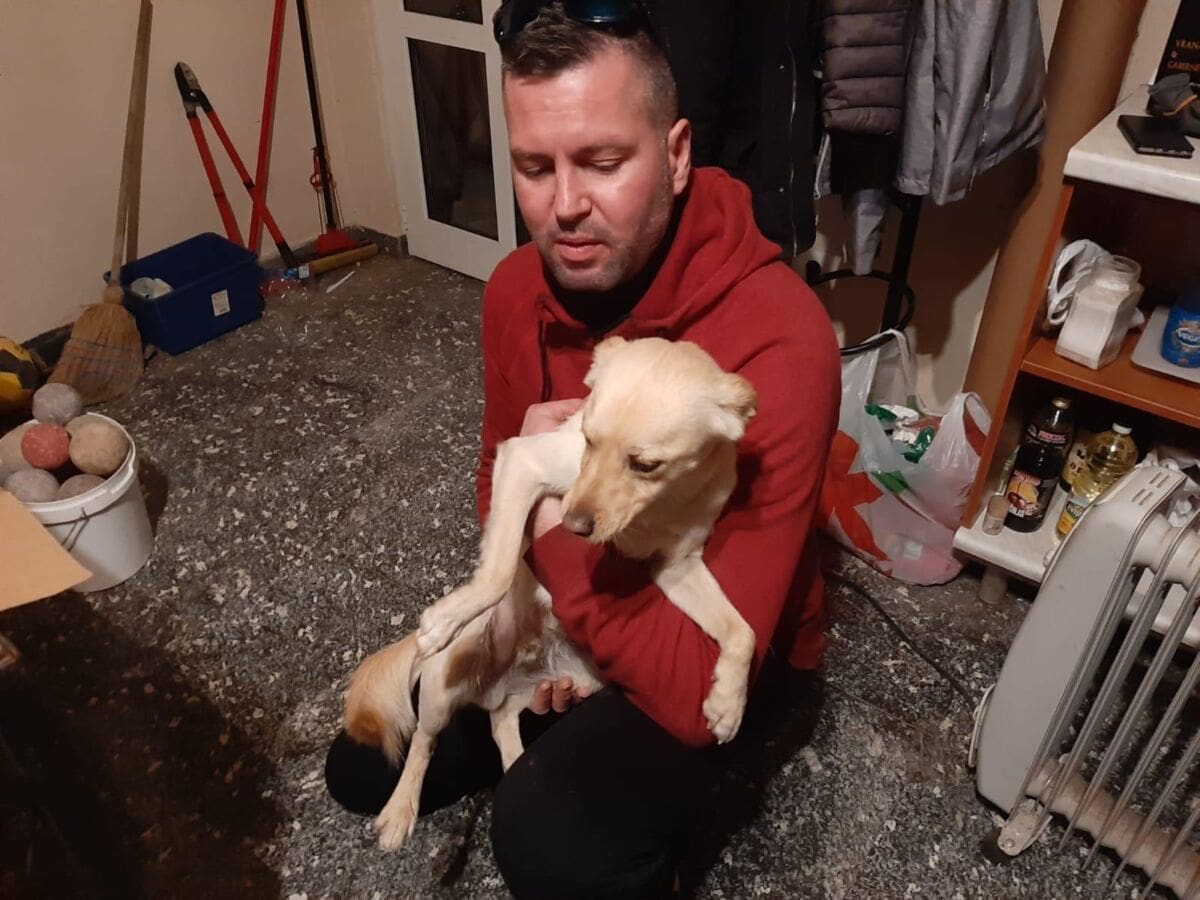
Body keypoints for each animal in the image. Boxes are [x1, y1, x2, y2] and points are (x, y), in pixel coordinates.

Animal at [343, 336, 758, 850]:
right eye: (587, 439)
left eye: (645, 465)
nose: (573, 527)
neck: (662, 506)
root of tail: (501, 674)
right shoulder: (523, 460)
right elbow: (500, 568)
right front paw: (445, 617)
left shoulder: (678, 566)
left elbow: (742, 631)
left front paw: (728, 702)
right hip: (442, 687)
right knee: (423, 740)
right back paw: (400, 810)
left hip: (564, 683)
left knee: (500, 721)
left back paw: (516, 764)